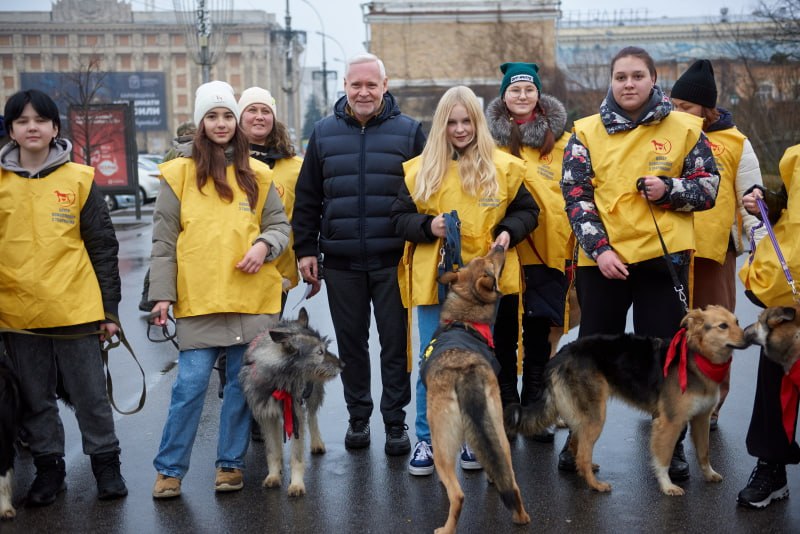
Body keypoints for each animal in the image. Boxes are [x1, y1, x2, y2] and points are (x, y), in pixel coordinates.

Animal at [234, 310, 340, 498]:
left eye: (325, 349)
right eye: (319, 352)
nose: (343, 365)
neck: (277, 379)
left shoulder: (295, 413)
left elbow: (297, 456)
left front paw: (296, 484)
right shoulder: (266, 415)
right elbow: (272, 451)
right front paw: (273, 475)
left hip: (313, 391)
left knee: (312, 416)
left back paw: (317, 443)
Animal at [424, 247, 532, 534]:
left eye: (489, 264)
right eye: (479, 260)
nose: (500, 245)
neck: (465, 319)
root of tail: (465, 371)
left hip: (441, 443)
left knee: (458, 495)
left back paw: (445, 528)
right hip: (498, 430)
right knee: (511, 481)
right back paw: (520, 516)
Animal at [506, 306, 752, 498]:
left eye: (737, 322)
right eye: (722, 326)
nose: (749, 337)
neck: (696, 357)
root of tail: (560, 355)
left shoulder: (701, 418)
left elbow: (704, 451)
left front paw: (709, 474)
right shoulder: (670, 422)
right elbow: (663, 456)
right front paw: (667, 486)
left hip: (586, 415)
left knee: (578, 445)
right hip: (596, 415)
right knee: (583, 453)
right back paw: (595, 485)